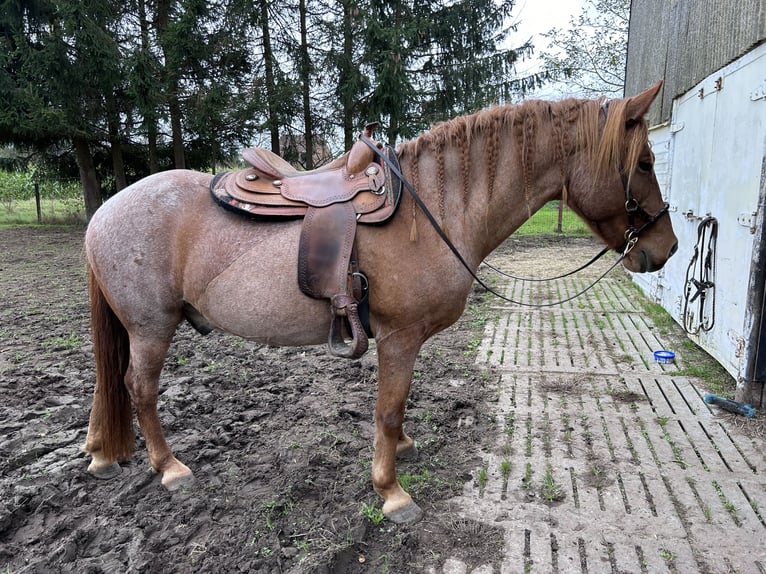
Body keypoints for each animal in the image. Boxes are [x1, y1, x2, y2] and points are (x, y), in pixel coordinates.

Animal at [81, 81, 676, 528]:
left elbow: (399, 410)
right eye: (645, 163)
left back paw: (101, 453)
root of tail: (105, 211)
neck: (433, 210)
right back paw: (170, 468)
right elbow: (387, 410)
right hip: (151, 327)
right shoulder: (399, 338)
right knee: (139, 389)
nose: (666, 248)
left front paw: (404, 451)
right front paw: (391, 492)